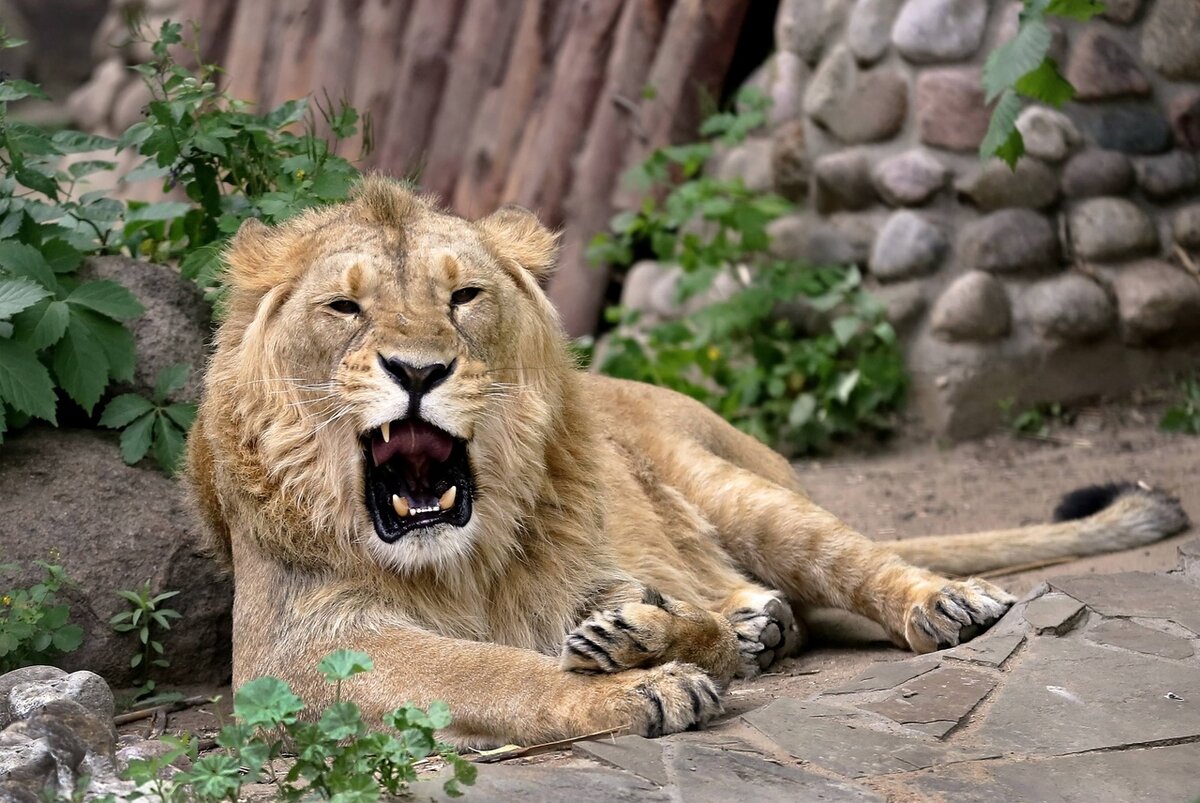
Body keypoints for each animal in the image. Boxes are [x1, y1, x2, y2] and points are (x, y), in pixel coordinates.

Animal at [187, 175, 1190, 744]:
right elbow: (487, 670)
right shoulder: (301, 648)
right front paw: (645, 678)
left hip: (737, 488)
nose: (419, 369)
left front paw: (644, 645)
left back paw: (938, 604)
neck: (456, 563)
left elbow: (641, 625)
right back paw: (742, 623)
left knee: (856, 562)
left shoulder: (590, 569)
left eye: (463, 295)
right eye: (344, 309)